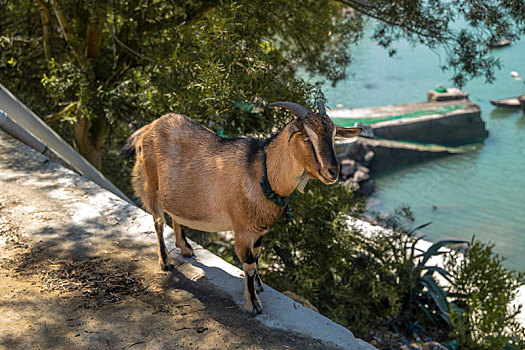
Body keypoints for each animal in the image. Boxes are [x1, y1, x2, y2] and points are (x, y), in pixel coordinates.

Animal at [122, 100, 360, 312]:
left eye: (333, 136)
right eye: (306, 137)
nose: (333, 171)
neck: (262, 171)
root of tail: (148, 128)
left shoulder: (259, 229)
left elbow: (257, 256)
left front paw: (259, 286)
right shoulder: (242, 228)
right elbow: (249, 265)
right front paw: (252, 303)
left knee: (175, 214)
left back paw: (186, 249)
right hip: (149, 182)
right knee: (158, 221)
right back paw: (165, 261)